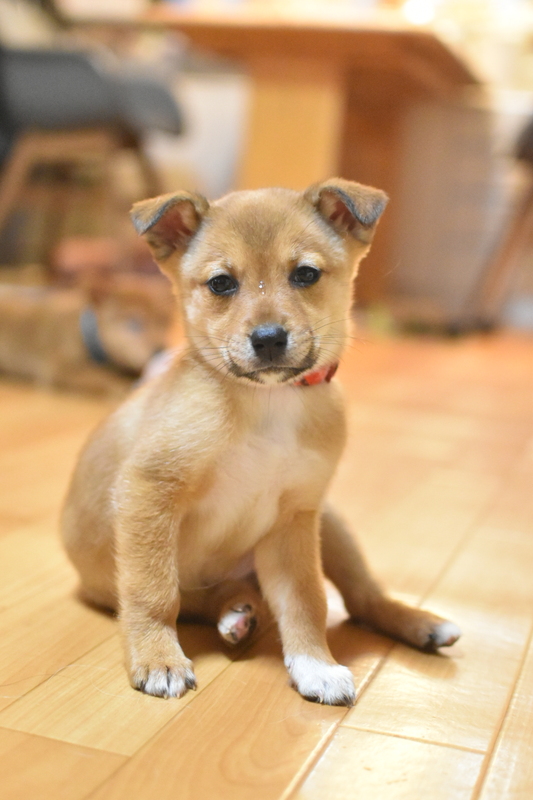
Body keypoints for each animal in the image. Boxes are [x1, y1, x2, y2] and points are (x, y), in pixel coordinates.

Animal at [61, 179, 461, 705]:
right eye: (221, 284)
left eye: (305, 274)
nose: (269, 339)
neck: (267, 401)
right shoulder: (150, 491)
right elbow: (154, 590)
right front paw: (157, 657)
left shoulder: (293, 520)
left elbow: (307, 600)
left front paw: (315, 664)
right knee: (197, 598)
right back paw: (235, 612)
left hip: (330, 523)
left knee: (362, 597)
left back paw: (418, 623)